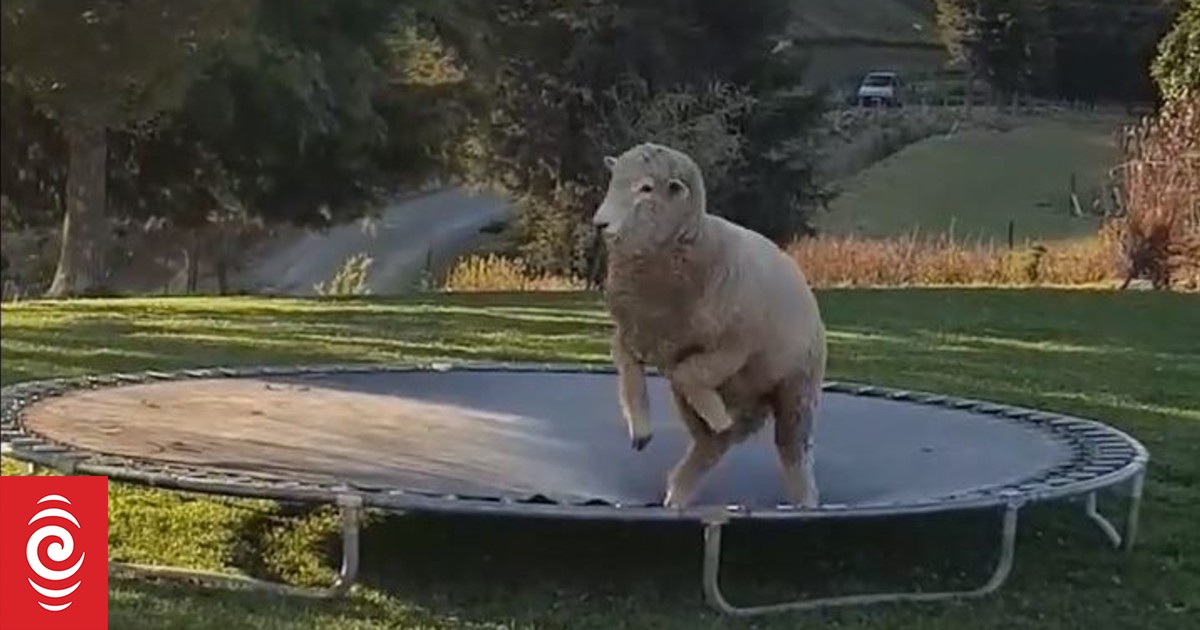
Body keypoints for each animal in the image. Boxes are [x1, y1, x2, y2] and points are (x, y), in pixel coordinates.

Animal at [591, 141, 828, 510]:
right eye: (613, 179)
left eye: (646, 188)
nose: (599, 223)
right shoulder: (633, 334)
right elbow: (630, 370)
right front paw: (640, 429)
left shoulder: (734, 347)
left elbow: (687, 373)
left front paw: (714, 412)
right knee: (712, 445)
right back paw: (678, 492)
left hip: (796, 389)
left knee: (792, 450)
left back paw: (805, 501)